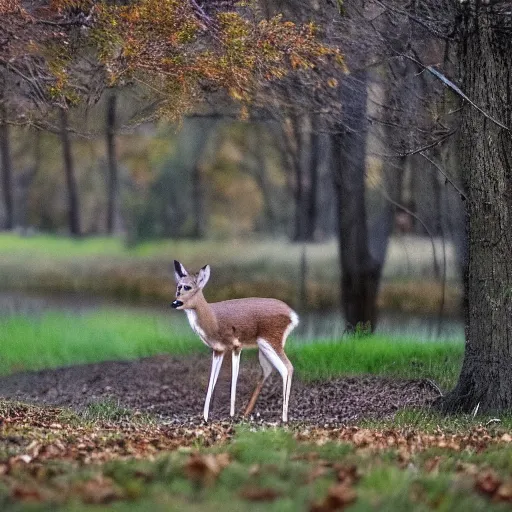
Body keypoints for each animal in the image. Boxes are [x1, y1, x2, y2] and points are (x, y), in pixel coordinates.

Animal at [170, 262, 298, 422]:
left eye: (188, 287)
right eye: (178, 286)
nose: (175, 302)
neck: (213, 320)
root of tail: (293, 316)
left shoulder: (236, 344)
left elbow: (234, 376)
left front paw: (230, 414)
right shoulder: (218, 349)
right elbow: (213, 377)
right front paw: (205, 416)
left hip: (271, 340)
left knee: (287, 368)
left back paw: (284, 418)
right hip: (264, 346)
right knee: (269, 369)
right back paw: (246, 413)